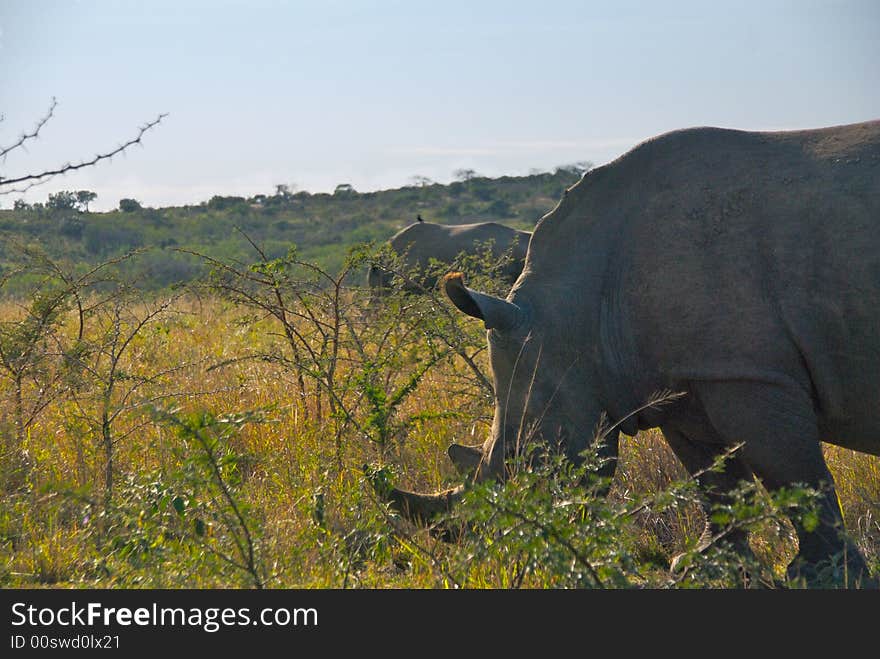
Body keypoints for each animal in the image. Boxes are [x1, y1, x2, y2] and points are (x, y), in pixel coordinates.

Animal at [390, 118, 880, 588]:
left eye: (524, 458)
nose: (499, 546)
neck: (573, 318)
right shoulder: (686, 379)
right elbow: (713, 478)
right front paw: (704, 566)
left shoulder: (748, 371)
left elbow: (795, 476)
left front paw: (824, 576)